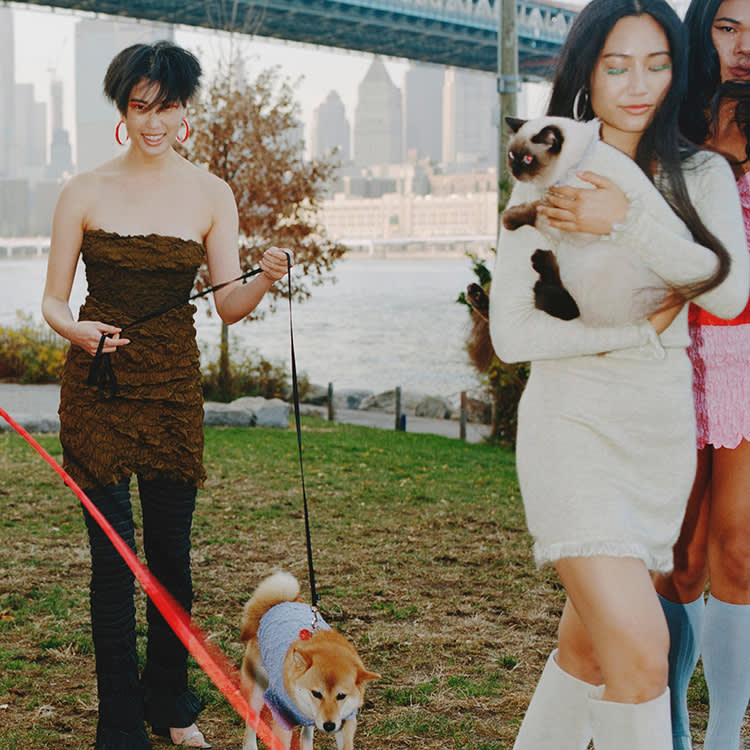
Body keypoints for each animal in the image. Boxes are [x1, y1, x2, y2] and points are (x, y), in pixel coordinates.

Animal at [241, 572, 382, 748]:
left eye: (341, 695)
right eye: (316, 693)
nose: (329, 725)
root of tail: (278, 604)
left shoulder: (346, 721)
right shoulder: (282, 718)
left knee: (306, 732)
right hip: (258, 689)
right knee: (250, 718)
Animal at [506, 116, 668, 328]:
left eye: (527, 159)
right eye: (511, 155)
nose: (515, 172)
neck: (575, 165)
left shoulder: (573, 223)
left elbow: (537, 211)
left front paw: (508, 218)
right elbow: (538, 207)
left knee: (571, 309)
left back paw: (541, 259)